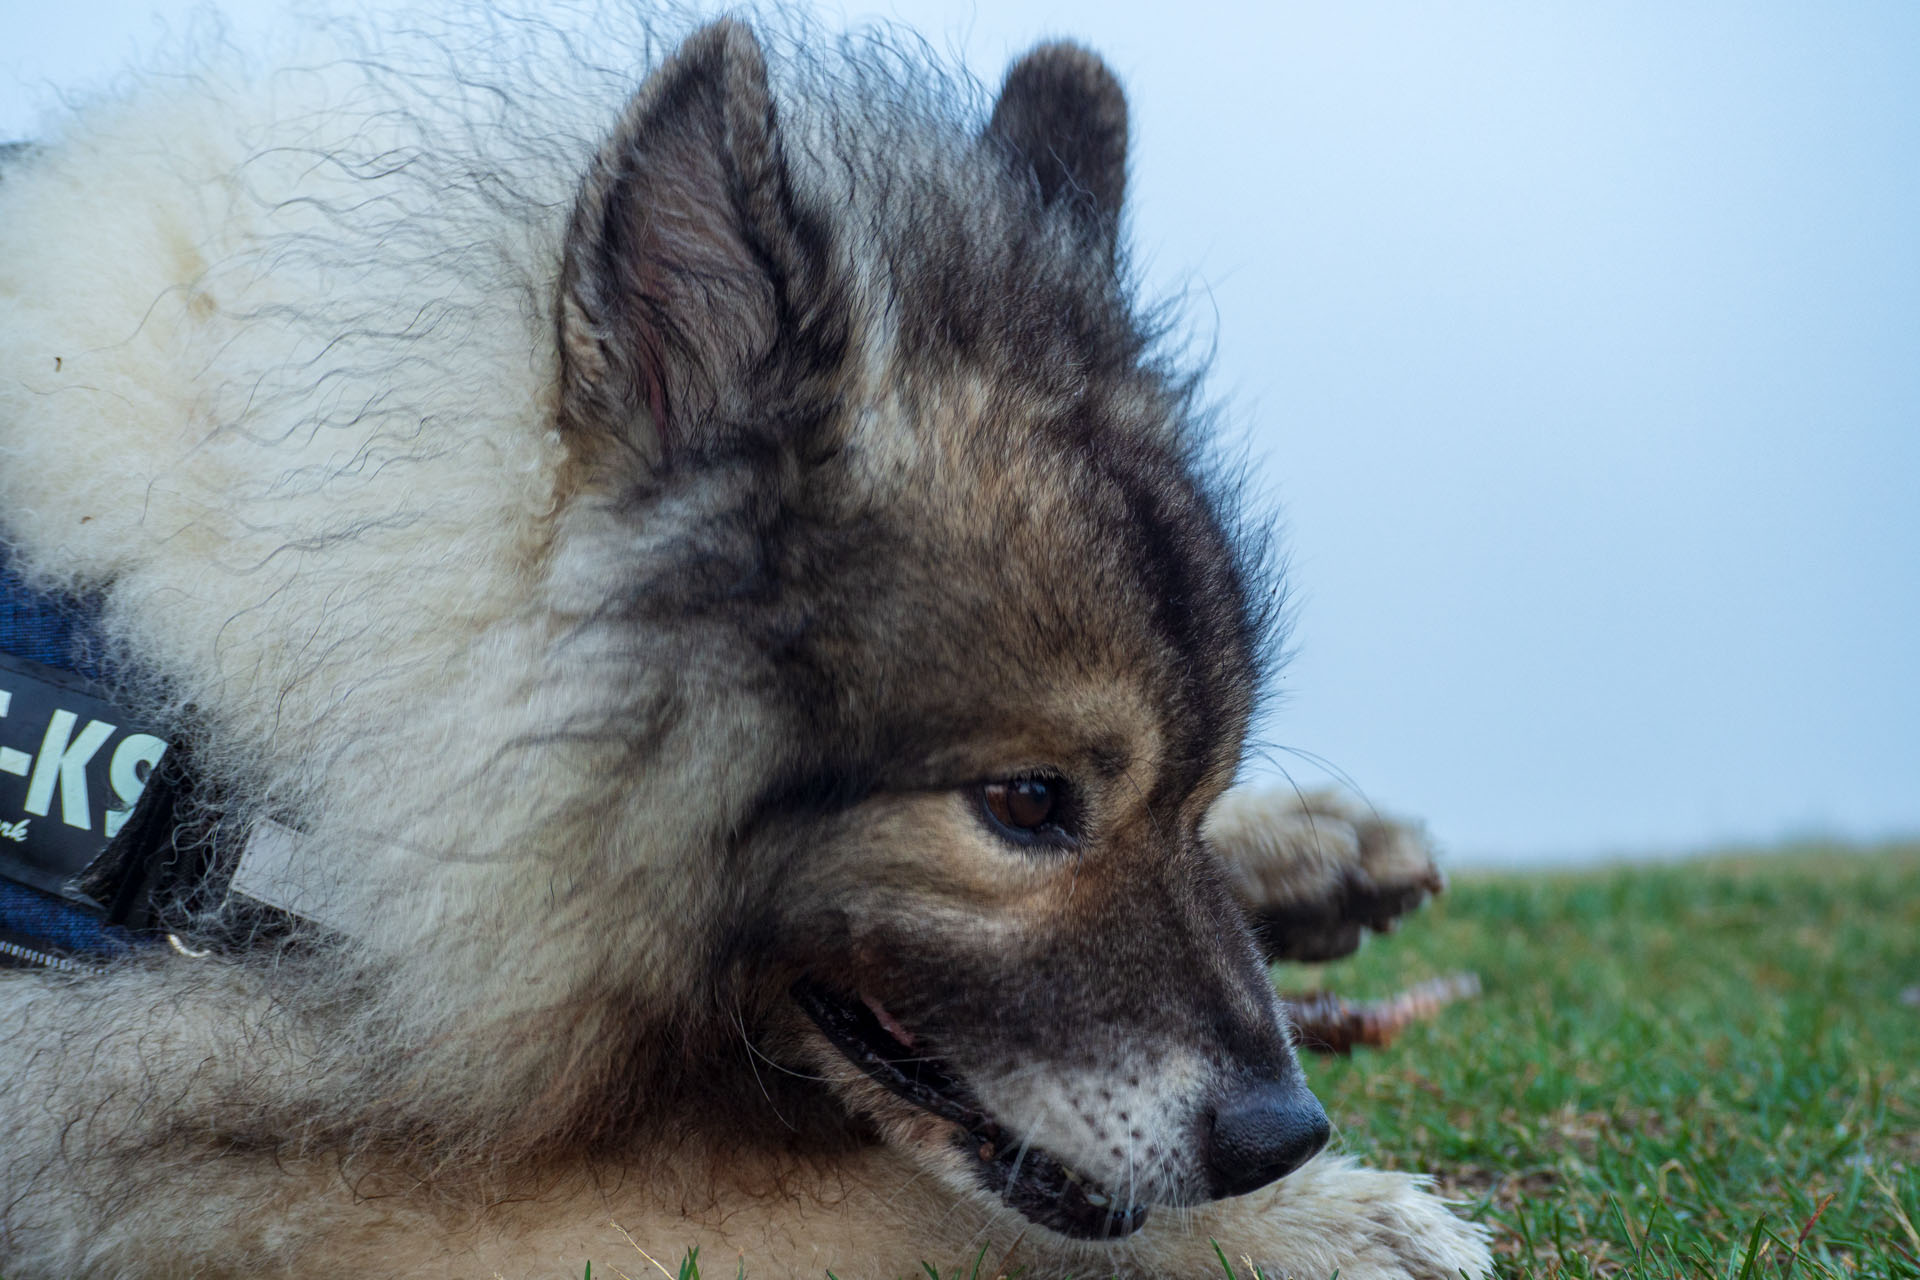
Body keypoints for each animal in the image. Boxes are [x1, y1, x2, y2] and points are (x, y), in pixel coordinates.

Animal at [0, 10, 1489, 1280]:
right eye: (1024, 804)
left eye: (1194, 784)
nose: (1280, 1136)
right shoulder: (225, 1185)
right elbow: (906, 1206)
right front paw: (1322, 1222)